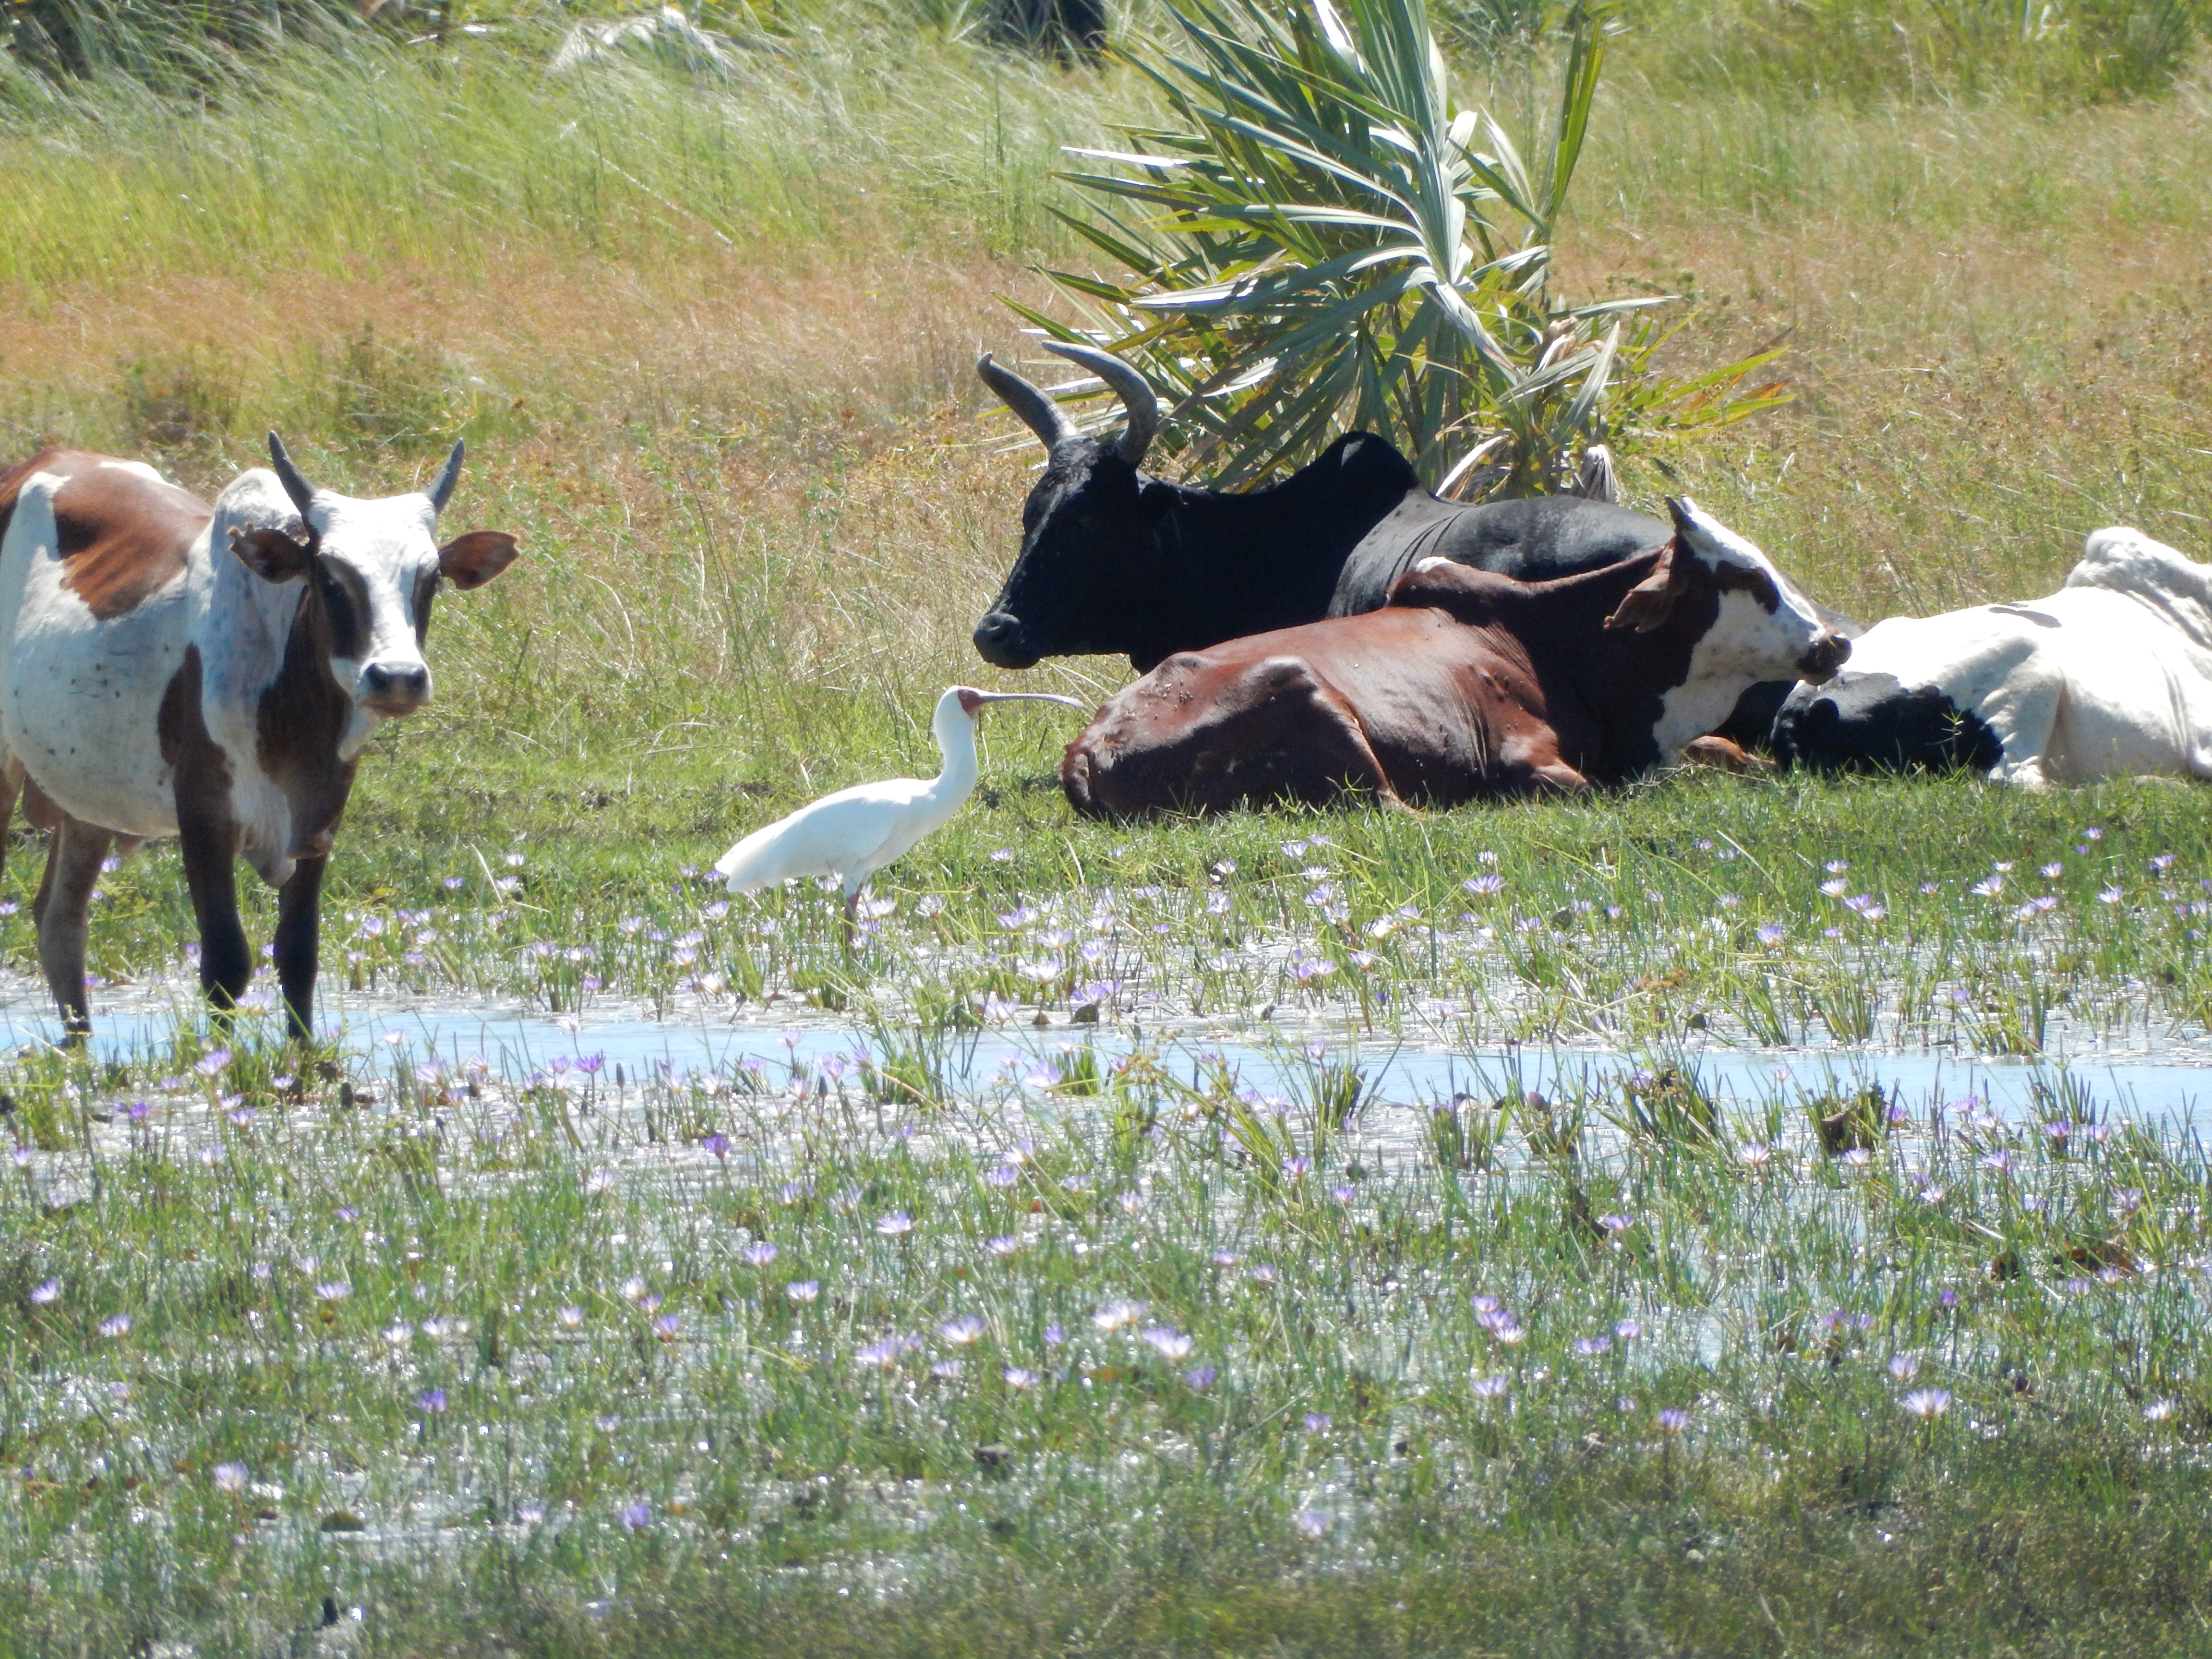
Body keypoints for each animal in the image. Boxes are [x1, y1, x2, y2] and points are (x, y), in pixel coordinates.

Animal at [0, 442, 517, 1039]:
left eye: (430, 580)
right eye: (330, 577)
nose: (397, 677)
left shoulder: (319, 820)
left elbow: (298, 957)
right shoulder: (205, 815)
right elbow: (225, 963)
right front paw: (221, 1065)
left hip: (87, 798)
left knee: (60, 921)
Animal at [1066, 493, 1849, 818]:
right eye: (1748, 578)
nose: (1834, 641)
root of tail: (1090, 744)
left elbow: (1731, 753)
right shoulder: (1529, 762)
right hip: (1303, 690)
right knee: (1394, 808)